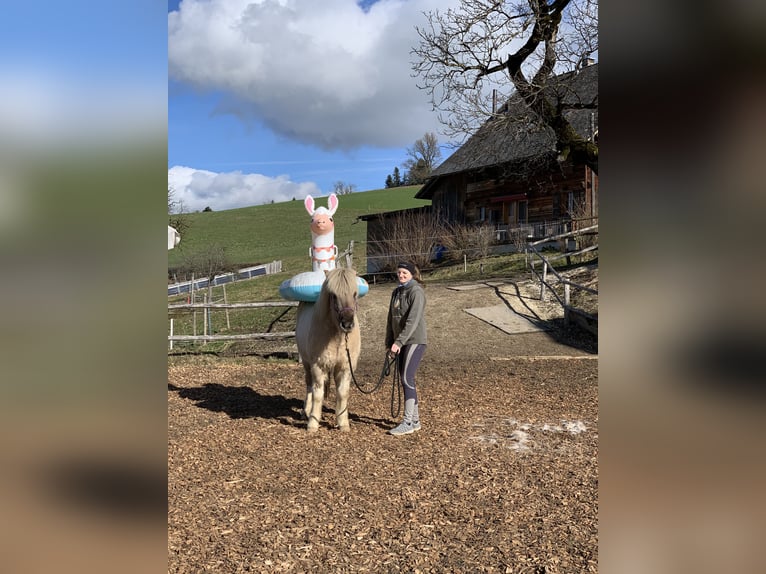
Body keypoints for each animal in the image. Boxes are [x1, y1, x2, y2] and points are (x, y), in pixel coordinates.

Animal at [296, 268, 364, 434]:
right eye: (333, 295)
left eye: (355, 293)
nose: (347, 324)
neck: (337, 336)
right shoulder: (318, 366)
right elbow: (317, 394)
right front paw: (313, 423)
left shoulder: (345, 367)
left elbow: (342, 393)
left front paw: (343, 422)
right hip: (306, 363)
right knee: (309, 386)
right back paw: (306, 412)